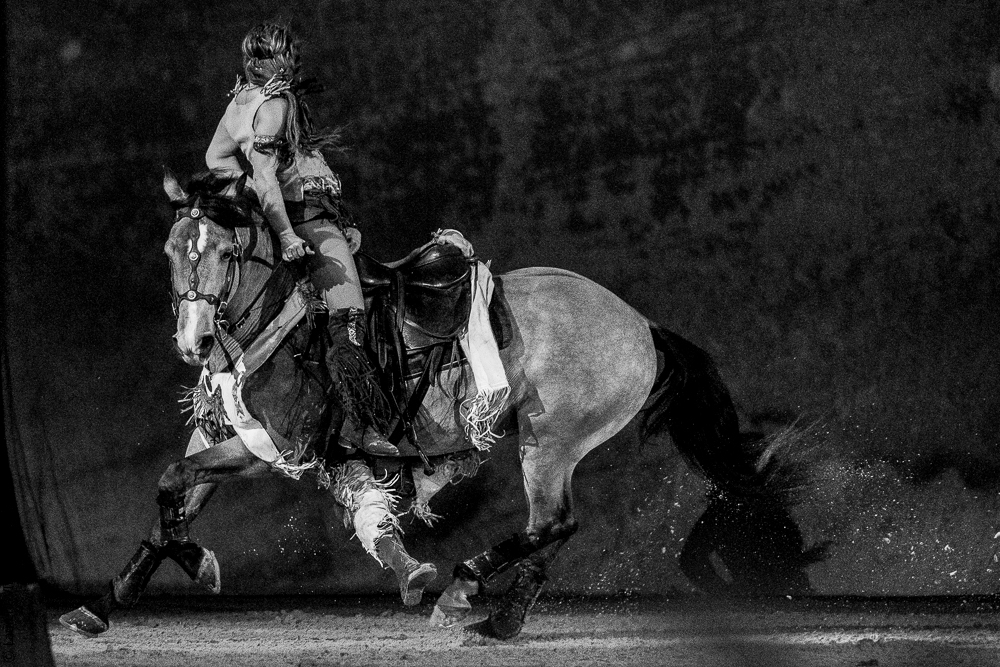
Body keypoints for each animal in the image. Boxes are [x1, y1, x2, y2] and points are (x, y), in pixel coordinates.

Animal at [60, 171, 816, 640]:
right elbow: (172, 500)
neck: (280, 318)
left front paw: (195, 565)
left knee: (553, 522)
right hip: (549, 445)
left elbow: (171, 484)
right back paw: (493, 614)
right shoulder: (223, 437)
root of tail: (642, 326)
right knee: (553, 527)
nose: (192, 342)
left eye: (221, 252)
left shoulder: (276, 448)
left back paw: (471, 591)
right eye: (171, 249)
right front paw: (104, 603)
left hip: (549, 441)